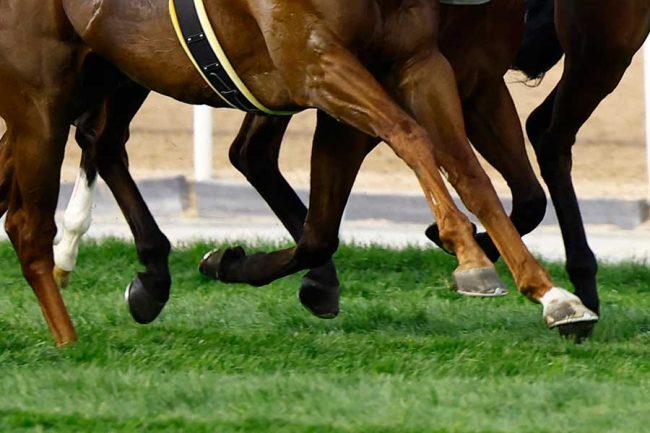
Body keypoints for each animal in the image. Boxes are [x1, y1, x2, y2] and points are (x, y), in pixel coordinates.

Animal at [0, 0, 595, 346]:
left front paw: (553, 296)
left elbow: (472, 175)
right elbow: (410, 137)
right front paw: (468, 254)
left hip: (101, 73)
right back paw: (72, 336)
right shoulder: (317, 62)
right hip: (45, 91)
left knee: (76, 158)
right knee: (41, 208)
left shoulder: (421, 62)